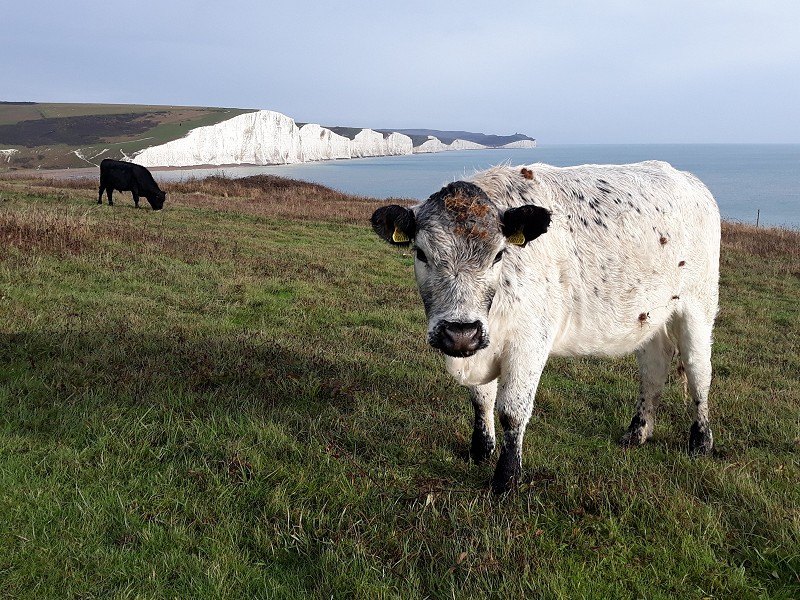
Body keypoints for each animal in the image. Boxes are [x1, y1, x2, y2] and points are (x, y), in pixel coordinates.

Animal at [371, 161, 720, 494]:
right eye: (421, 253)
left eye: (499, 255)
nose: (460, 332)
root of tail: (688, 180)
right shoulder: (480, 344)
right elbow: (481, 398)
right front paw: (481, 451)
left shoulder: (529, 343)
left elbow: (512, 410)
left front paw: (506, 479)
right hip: (651, 317)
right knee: (653, 370)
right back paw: (637, 432)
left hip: (698, 307)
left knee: (698, 372)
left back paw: (701, 442)